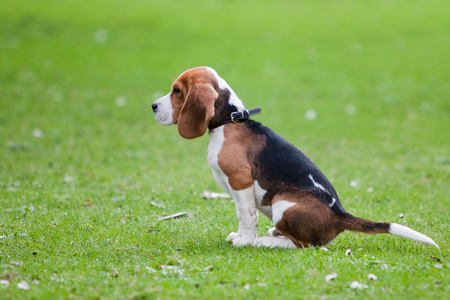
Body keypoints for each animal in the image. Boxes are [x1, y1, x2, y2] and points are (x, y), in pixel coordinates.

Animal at [150, 67, 436, 250]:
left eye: (177, 91)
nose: (152, 106)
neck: (229, 120)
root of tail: (340, 215)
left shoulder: (240, 181)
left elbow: (246, 215)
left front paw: (246, 240)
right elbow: (243, 215)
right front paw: (240, 236)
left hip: (282, 202)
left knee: (303, 245)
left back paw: (265, 242)